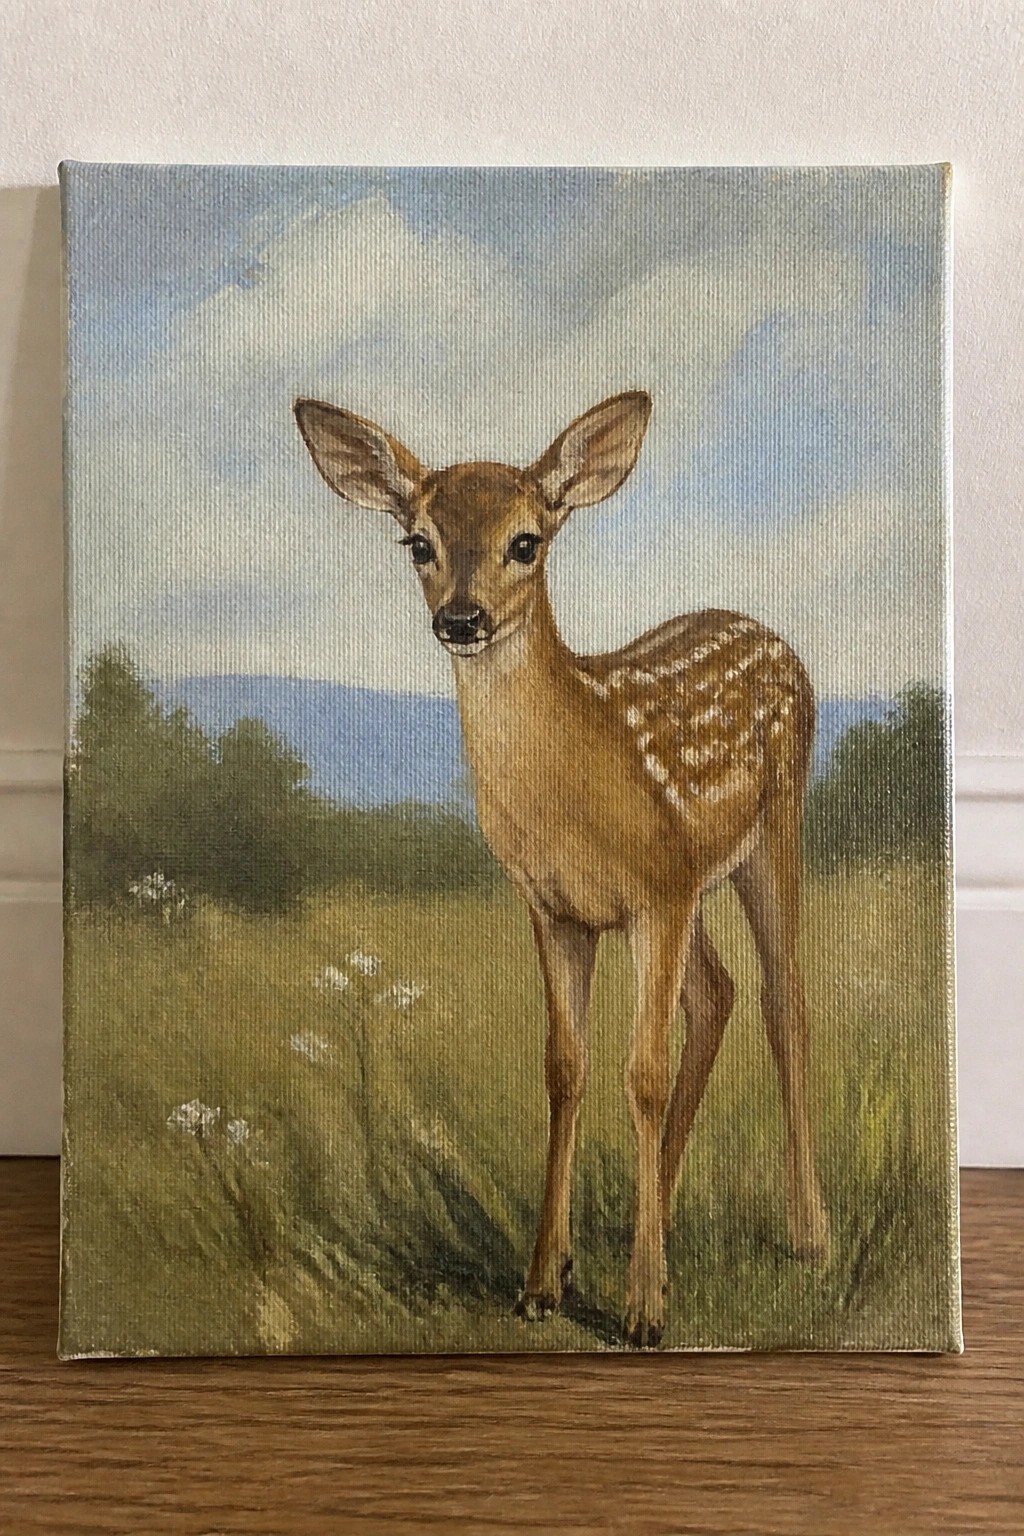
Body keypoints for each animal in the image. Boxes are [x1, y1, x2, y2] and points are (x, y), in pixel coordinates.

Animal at [294, 390, 830, 1348]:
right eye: (418, 542)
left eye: (526, 541)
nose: (461, 620)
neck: (570, 788)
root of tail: (766, 632)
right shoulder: (556, 907)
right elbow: (566, 1067)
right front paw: (545, 1281)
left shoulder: (655, 894)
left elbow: (641, 1072)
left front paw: (645, 1309)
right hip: (693, 886)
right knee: (719, 993)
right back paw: (650, 1224)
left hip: (770, 831)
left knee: (783, 998)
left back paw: (809, 1237)